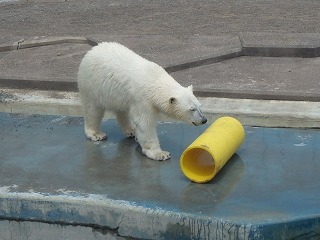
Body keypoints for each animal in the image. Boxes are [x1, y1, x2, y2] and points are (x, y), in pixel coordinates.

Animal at [78, 42, 208, 160]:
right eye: (191, 109)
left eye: (199, 106)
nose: (204, 120)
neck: (154, 80)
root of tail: (92, 50)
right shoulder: (142, 98)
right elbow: (144, 123)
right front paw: (160, 154)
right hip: (92, 84)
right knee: (92, 110)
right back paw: (96, 134)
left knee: (122, 110)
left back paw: (131, 130)